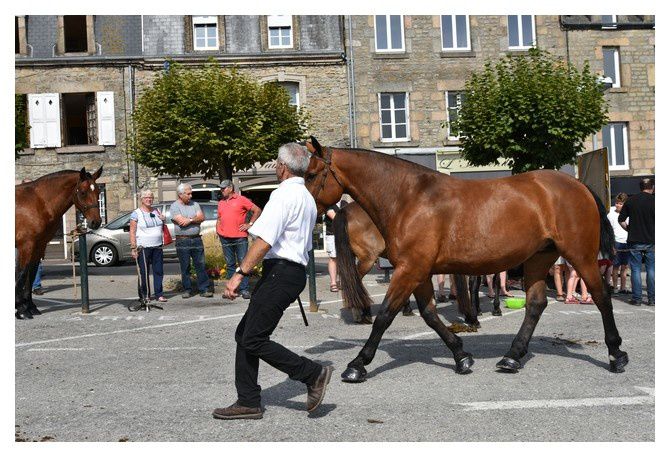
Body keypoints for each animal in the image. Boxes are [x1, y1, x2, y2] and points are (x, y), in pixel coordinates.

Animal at [15, 166, 103, 318]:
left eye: (98, 191)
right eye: (83, 192)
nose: (96, 222)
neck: (38, 202)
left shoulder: (39, 245)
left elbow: (31, 273)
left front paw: (30, 307)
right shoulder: (26, 245)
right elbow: (22, 273)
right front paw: (21, 309)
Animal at [304, 135, 624, 382]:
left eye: (311, 174)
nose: (306, 211)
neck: (409, 198)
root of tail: (578, 185)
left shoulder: (410, 269)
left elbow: (385, 315)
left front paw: (357, 364)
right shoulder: (418, 270)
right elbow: (430, 314)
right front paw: (461, 356)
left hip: (580, 255)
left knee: (601, 296)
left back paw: (616, 354)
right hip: (539, 258)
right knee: (536, 305)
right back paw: (511, 357)